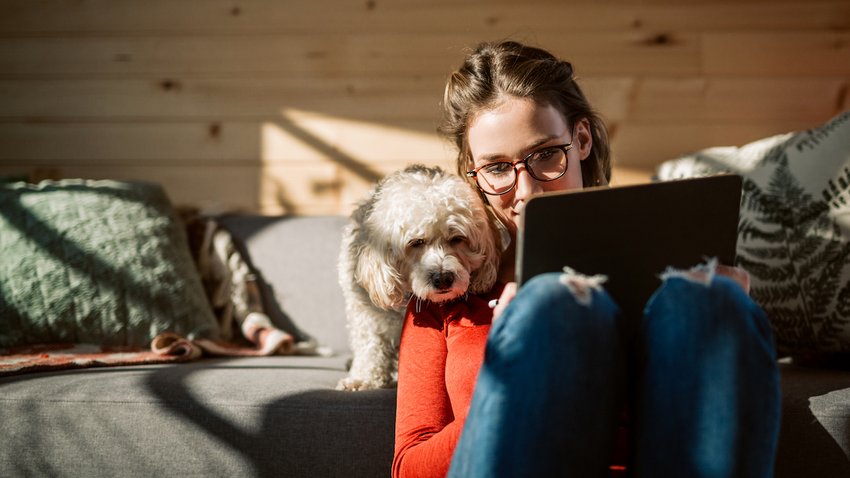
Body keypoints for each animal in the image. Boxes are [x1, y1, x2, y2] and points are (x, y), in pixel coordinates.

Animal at [336, 166, 496, 390]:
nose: (443, 278)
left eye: (457, 238)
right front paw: (363, 378)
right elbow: (370, 345)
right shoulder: (365, 312)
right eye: (416, 242)